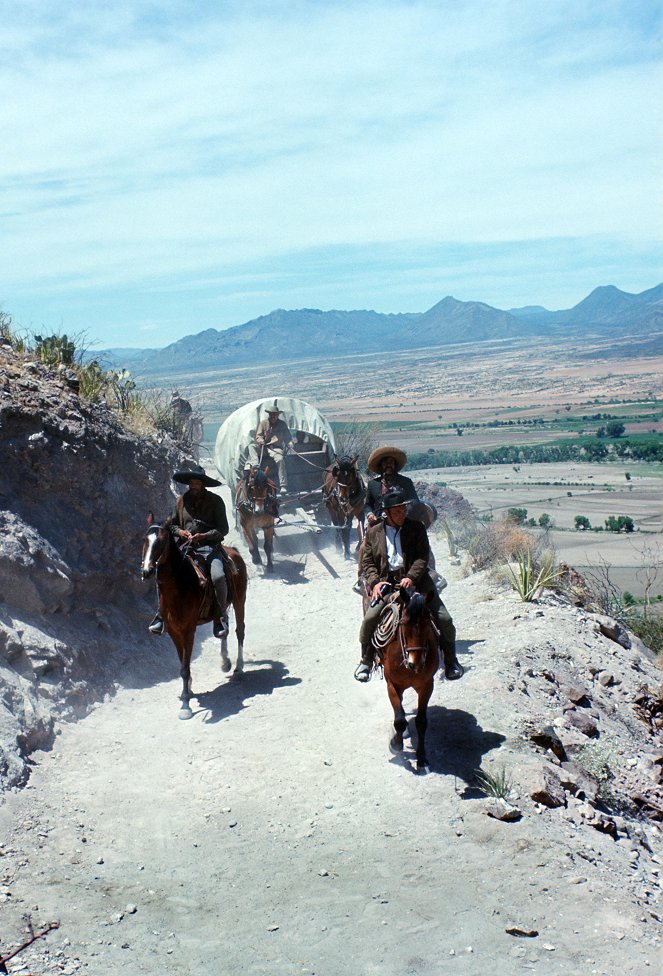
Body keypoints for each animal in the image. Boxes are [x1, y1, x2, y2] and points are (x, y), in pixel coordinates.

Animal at [142, 520, 249, 716]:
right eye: (145, 540)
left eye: (161, 542)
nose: (147, 570)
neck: (180, 585)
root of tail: (233, 551)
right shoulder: (174, 632)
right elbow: (182, 663)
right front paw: (188, 690)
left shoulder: (188, 631)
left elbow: (185, 667)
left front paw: (185, 704)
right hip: (223, 607)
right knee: (223, 628)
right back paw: (225, 661)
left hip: (240, 599)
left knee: (240, 631)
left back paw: (239, 667)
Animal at [374, 588, 440, 772]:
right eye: (403, 623)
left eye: (428, 623)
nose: (415, 663)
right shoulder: (392, 685)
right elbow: (399, 721)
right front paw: (395, 745)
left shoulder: (427, 686)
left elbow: (421, 722)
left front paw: (422, 758)